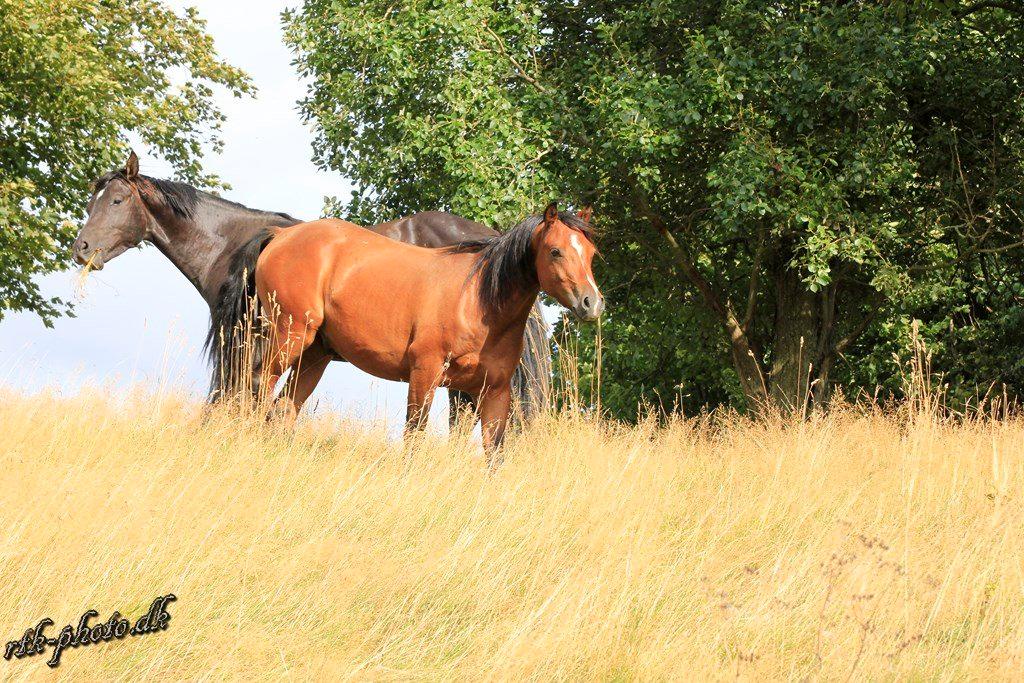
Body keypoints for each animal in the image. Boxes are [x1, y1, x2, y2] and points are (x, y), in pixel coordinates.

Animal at [71, 151, 551, 421]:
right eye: (93, 201)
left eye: (117, 200)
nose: (82, 249)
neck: (233, 243)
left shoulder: (244, 345)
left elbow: (229, 400)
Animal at [245, 202, 602, 461]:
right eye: (555, 251)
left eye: (590, 253)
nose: (592, 303)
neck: (477, 302)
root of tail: (281, 236)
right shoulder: (425, 373)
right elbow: (414, 436)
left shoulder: (493, 391)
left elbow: (493, 453)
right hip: (290, 336)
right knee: (260, 385)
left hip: (315, 354)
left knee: (284, 409)